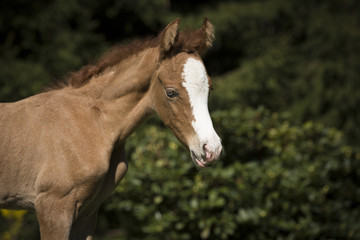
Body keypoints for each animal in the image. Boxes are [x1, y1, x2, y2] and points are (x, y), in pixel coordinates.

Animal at [0, 17, 222, 239]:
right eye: (171, 92)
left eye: (210, 88)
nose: (212, 149)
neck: (94, 123)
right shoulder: (53, 206)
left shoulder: (87, 212)